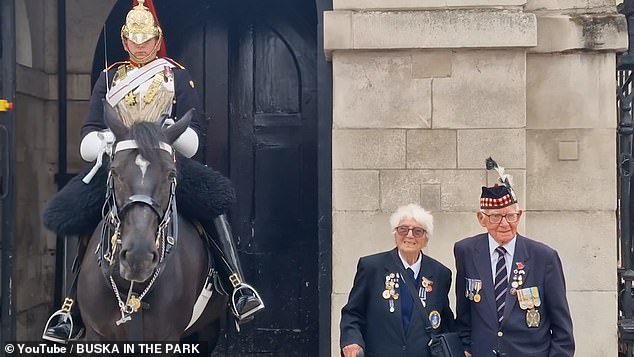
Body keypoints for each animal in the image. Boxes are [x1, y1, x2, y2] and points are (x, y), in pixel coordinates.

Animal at [75, 105, 227, 348]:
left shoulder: (167, 338)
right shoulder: (96, 336)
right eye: (114, 171)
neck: (132, 290)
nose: (139, 257)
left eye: (171, 173)